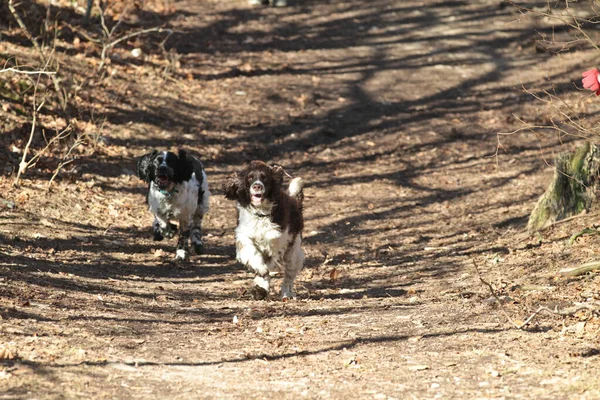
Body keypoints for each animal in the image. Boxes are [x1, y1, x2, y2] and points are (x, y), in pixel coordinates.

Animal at [223, 161, 304, 298]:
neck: (260, 213)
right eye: (250, 177)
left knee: (289, 276)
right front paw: (260, 271)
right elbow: (251, 253)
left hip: (293, 252)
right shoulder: (243, 234)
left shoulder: (278, 241)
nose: (257, 186)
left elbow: (272, 262)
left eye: (264, 177)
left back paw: (286, 294)